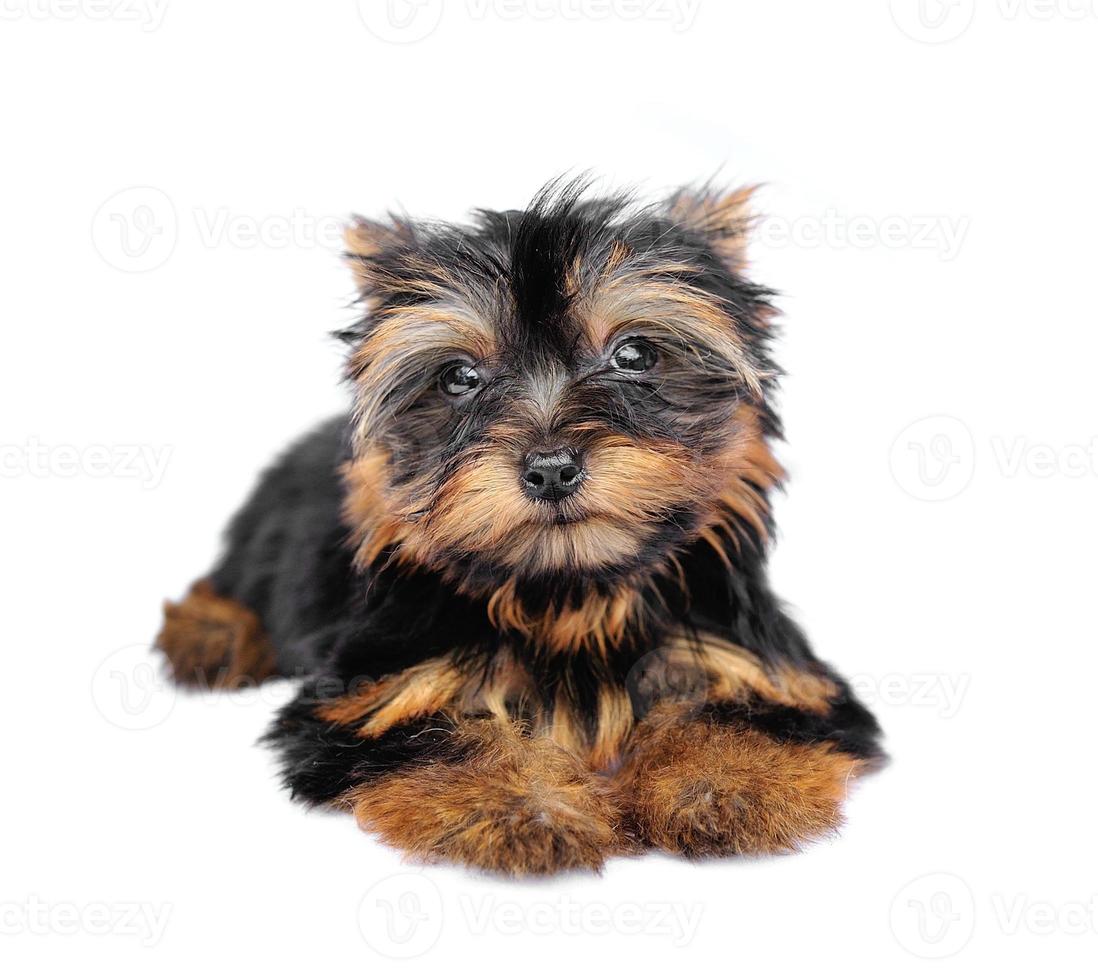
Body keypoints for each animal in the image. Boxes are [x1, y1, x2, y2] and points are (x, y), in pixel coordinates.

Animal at [157, 179, 882, 873]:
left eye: (634, 355)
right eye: (459, 377)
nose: (552, 469)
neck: (570, 596)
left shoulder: (769, 668)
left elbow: (740, 714)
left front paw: (723, 786)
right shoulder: (373, 695)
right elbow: (445, 737)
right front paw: (524, 809)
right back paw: (212, 634)